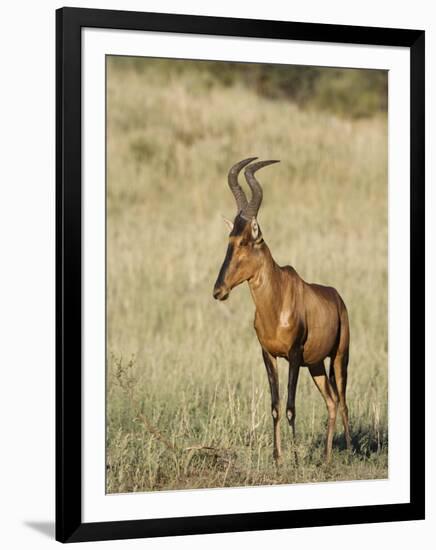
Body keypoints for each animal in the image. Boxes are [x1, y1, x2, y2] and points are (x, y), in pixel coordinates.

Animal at [213, 157, 352, 464]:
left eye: (245, 241)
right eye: (229, 240)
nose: (218, 290)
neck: (276, 302)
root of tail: (337, 297)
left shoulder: (294, 355)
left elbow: (290, 406)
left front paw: (296, 459)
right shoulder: (269, 355)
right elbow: (276, 406)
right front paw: (278, 459)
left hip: (339, 357)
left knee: (344, 400)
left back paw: (348, 452)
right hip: (316, 365)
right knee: (332, 401)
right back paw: (326, 458)